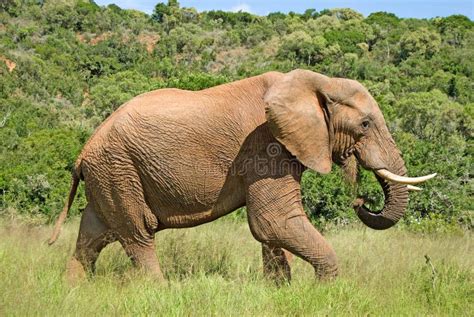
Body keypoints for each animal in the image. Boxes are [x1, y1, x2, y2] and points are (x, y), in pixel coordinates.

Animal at [47, 69, 434, 282]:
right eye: (365, 124)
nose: (361, 200)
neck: (316, 82)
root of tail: (83, 151)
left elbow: (272, 229)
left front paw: (282, 292)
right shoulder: (265, 145)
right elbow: (273, 220)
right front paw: (325, 290)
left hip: (109, 175)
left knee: (92, 237)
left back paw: (74, 290)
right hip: (119, 170)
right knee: (137, 235)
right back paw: (160, 290)